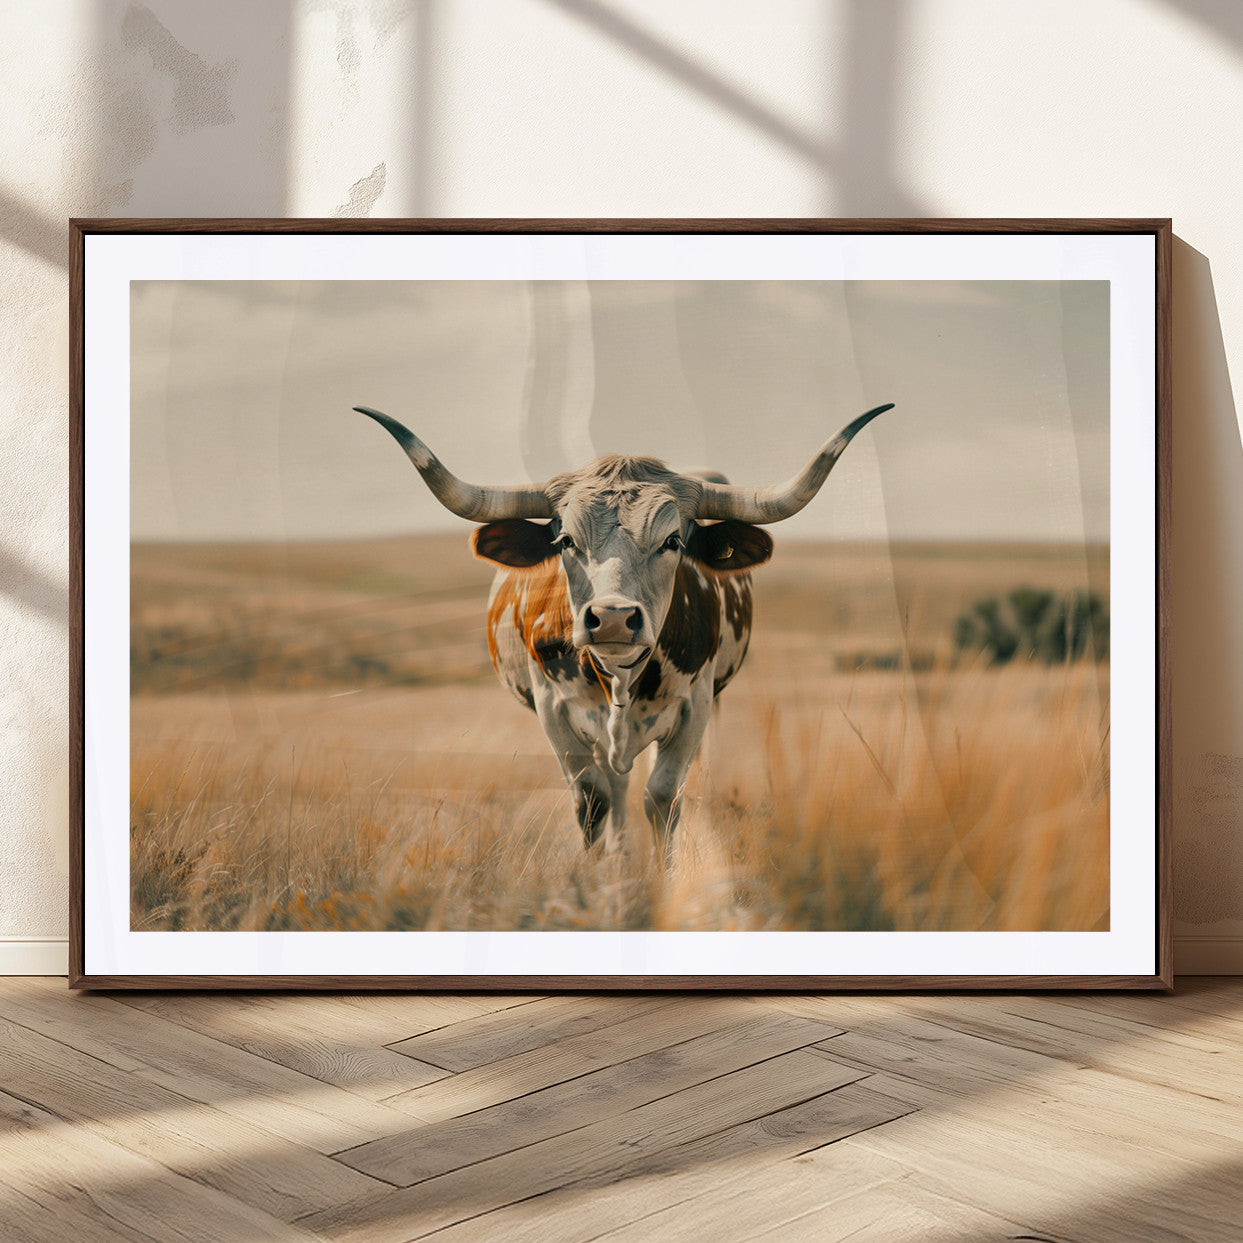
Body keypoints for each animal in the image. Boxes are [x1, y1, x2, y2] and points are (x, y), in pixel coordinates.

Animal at [357, 402, 892, 857]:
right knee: (612, 789)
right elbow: (593, 800)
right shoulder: (553, 710)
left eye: (673, 540)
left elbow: (663, 798)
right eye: (565, 540)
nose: (612, 616)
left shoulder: (695, 707)